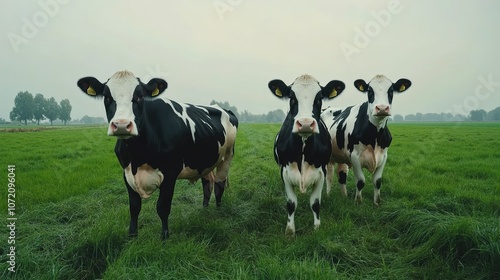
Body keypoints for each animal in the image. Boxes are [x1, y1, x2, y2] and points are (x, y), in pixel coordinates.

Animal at [76, 71, 238, 240]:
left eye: (140, 96)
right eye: (107, 97)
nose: (121, 125)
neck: (137, 157)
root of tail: (224, 109)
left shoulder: (170, 173)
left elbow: (162, 207)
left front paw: (164, 237)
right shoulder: (126, 173)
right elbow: (134, 207)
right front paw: (132, 235)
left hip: (227, 156)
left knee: (219, 185)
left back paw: (218, 211)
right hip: (204, 162)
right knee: (207, 184)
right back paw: (204, 210)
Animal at [270, 74, 344, 236]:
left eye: (319, 98)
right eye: (292, 98)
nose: (305, 124)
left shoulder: (321, 172)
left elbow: (315, 203)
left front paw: (316, 227)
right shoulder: (285, 172)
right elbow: (291, 204)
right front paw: (290, 230)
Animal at [322, 75, 412, 207]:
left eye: (391, 91)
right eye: (370, 91)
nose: (382, 108)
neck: (375, 135)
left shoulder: (384, 156)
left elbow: (377, 181)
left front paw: (377, 203)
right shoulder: (355, 157)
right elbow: (360, 181)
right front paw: (358, 202)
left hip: (342, 156)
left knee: (342, 174)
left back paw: (344, 196)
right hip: (329, 157)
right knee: (329, 175)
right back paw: (328, 195)